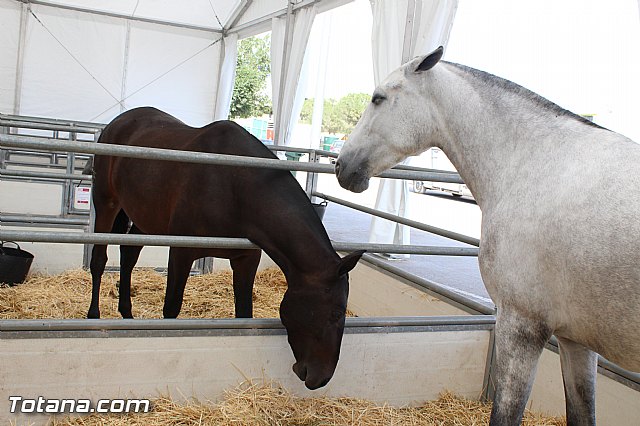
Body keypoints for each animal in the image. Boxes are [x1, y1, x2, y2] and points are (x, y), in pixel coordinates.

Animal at [88, 106, 364, 390]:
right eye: (336, 312)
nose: (321, 378)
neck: (233, 186)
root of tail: (119, 121)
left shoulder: (246, 258)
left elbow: (244, 312)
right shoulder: (181, 252)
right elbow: (171, 308)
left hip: (144, 217)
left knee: (128, 255)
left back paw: (127, 313)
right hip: (106, 202)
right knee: (99, 259)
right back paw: (93, 315)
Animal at [335, 46, 640, 425]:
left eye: (378, 98)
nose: (341, 165)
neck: (532, 163)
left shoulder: (520, 326)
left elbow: (505, 414)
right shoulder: (576, 342)